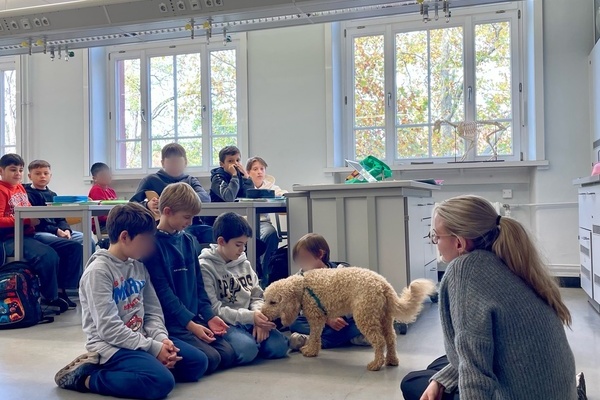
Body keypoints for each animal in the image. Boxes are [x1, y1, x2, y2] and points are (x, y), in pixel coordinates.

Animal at [261, 267, 436, 371]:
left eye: (273, 302)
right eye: (265, 299)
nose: (263, 314)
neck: (303, 287)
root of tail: (383, 284)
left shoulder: (316, 318)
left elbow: (315, 336)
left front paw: (310, 351)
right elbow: (316, 337)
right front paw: (311, 349)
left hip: (365, 316)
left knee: (379, 341)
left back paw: (376, 364)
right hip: (384, 317)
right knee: (391, 339)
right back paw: (391, 360)